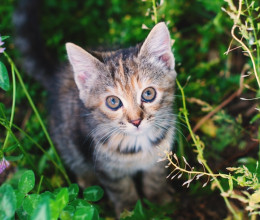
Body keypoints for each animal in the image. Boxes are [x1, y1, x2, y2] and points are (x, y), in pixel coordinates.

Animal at [13, 0, 177, 215]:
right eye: (113, 102)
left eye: (148, 94)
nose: (136, 121)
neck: (137, 142)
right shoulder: (105, 167)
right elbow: (121, 188)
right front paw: (129, 210)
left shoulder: (161, 151)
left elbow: (156, 176)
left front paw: (158, 202)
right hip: (66, 139)